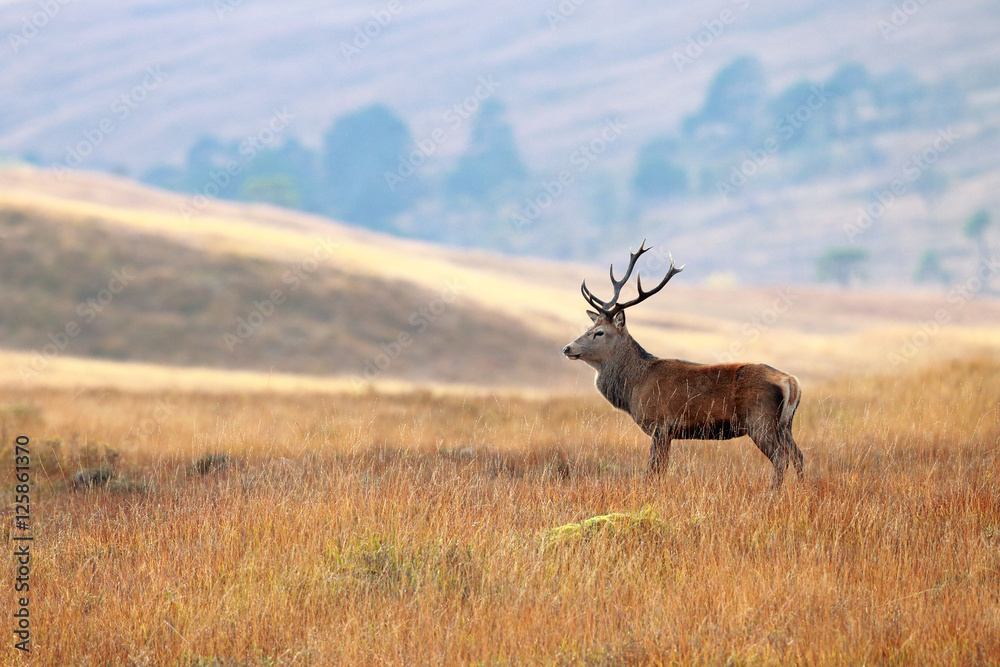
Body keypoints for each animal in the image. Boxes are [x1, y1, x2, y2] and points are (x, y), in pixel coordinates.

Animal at [562, 242, 804, 488]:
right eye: (590, 327)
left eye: (599, 332)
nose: (567, 348)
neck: (634, 387)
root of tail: (791, 383)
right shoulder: (666, 431)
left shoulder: (661, 425)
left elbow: (654, 470)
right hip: (784, 424)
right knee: (798, 455)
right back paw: (802, 489)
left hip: (760, 420)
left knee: (780, 458)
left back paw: (772, 493)